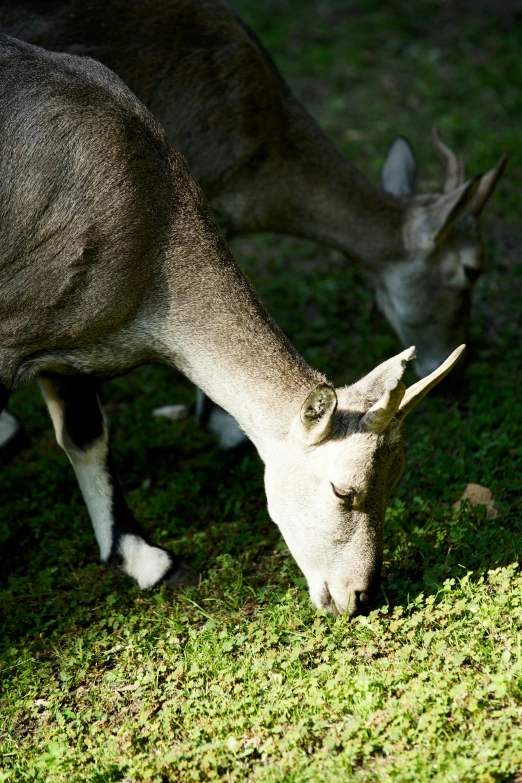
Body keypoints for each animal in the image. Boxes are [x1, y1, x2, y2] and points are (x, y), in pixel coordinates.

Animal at [1, 35, 464, 612]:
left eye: (396, 480)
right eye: (344, 489)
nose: (357, 596)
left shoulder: (68, 343)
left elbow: (85, 435)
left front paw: (149, 562)